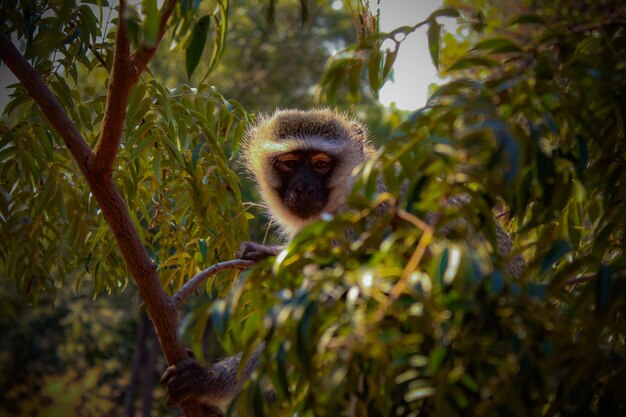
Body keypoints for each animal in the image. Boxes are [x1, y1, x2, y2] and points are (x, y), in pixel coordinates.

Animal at [160, 108, 520, 412]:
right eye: (290, 163)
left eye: (321, 164)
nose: (304, 189)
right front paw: (269, 255)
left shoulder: (358, 225)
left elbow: (317, 317)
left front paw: (207, 380)